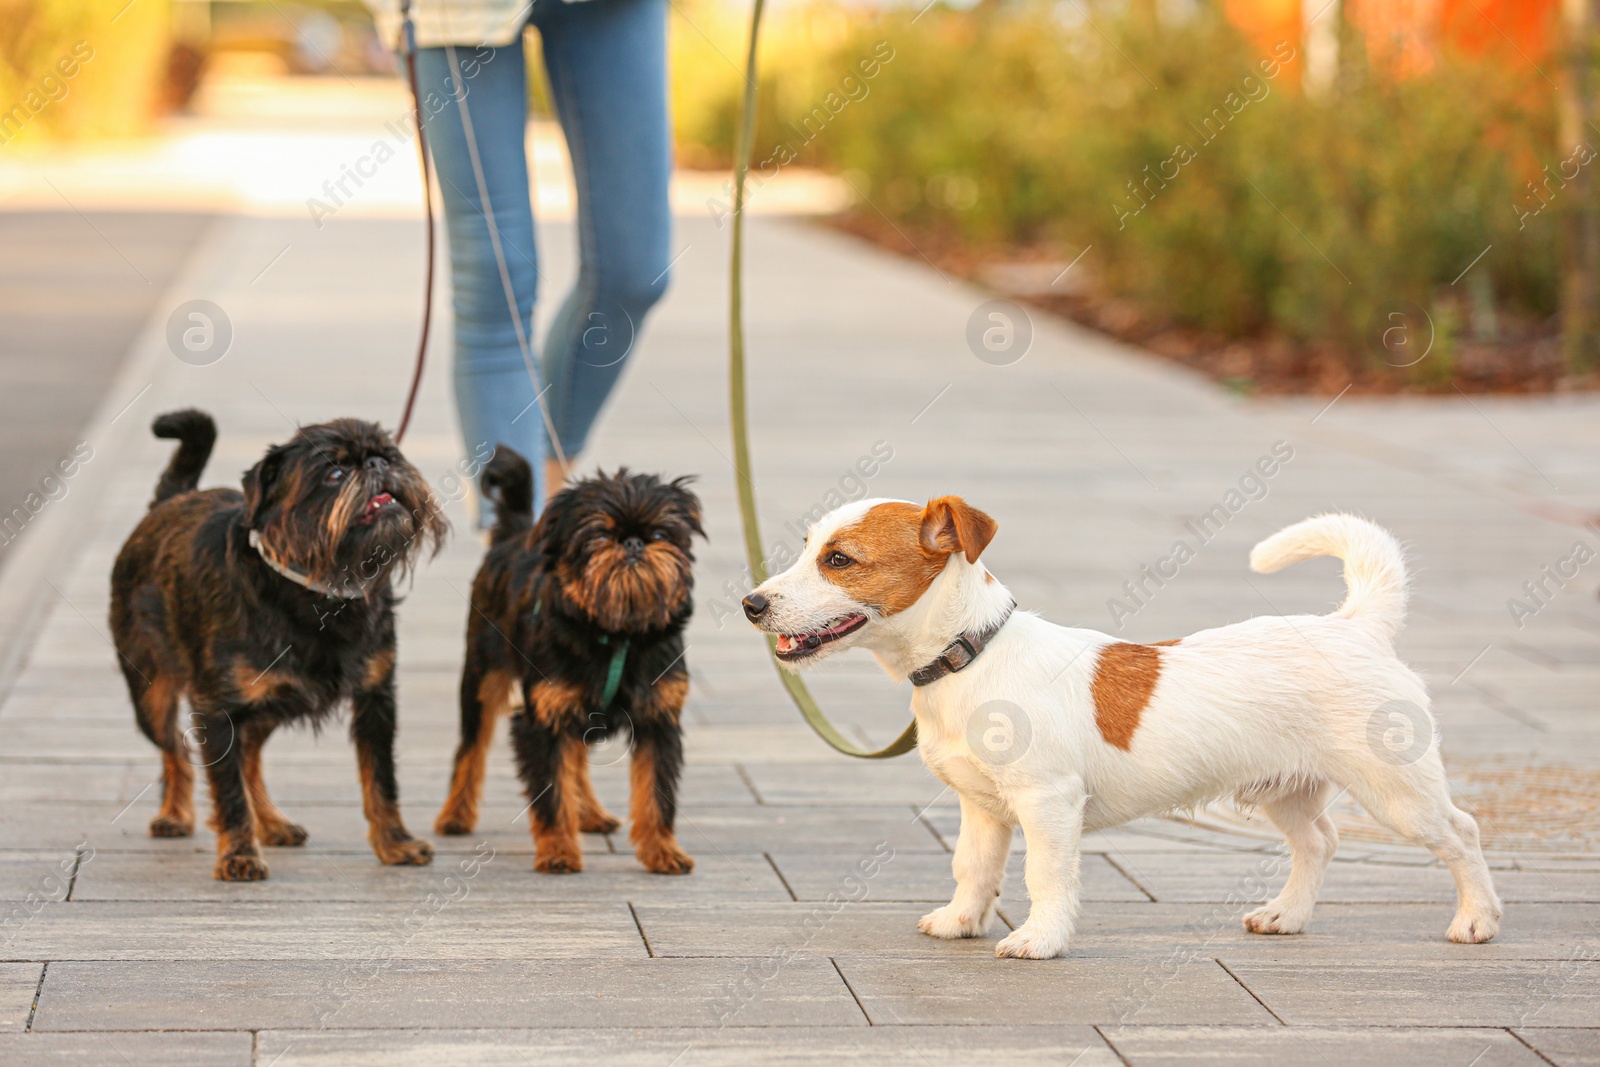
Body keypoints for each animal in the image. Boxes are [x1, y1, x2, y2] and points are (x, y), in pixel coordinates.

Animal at [109, 409, 444, 883]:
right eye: (335, 474)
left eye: (390, 454)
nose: (378, 465)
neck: (319, 590)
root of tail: (171, 502)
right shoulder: (216, 711)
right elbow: (227, 789)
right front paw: (238, 854)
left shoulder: (376, 701)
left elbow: (381, 780)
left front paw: (395, 843)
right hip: (151, 696)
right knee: (175, 748)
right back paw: (176, 814)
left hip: (267, 706)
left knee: (248, 757)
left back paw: (271, 823)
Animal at [435, 451, 704, 876]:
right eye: (598, 536)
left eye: (662, 535)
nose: (633, 541)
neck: (618, 632)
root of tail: (514, 533)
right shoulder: (542, 720)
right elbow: (551, 791)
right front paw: (559, 850)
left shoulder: (658, 722)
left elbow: (656, 795)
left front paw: (662, 850)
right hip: (481, 678)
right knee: (471, 748)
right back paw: (456, 814)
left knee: (575, 757)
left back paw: (591, 813)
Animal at [742, 502, 1504, 959]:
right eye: (807, 549)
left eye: (840, 559)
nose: (750, 603)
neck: (972, 653)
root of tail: (1357, 625)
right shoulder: (981, 807)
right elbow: (974, 868)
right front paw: (963, 920)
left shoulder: (1047, 802)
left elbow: (1044, 874)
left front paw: (1041, 939)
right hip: (1285, 788)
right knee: (1319, 841)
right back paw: (1286, 915)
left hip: (1397, 790)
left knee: (1461, 833)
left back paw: (1477, 919)